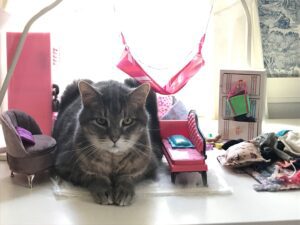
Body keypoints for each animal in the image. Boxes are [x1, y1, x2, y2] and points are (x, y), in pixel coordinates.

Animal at [52, 78, 163, 206]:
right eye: (101, 121)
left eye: (127, 121)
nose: (114, 137)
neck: (113, 160)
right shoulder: (64, 165)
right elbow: (91, 175)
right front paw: (103, 188)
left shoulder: (149, 165)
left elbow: (129, 175)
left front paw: (124, 189)